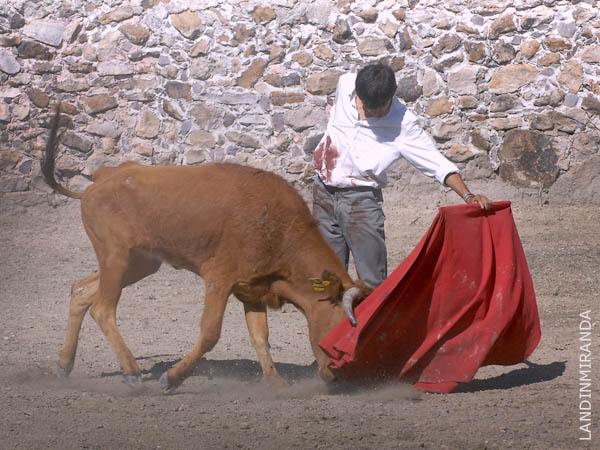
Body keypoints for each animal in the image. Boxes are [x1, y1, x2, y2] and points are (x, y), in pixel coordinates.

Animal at [41, 104, 370, 390]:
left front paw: (275, 383)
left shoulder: (253, 289)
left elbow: (260, 338)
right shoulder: (219, 279)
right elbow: (211, 333)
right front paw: (172, 378)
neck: (277, 225)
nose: (337, 376)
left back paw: (63, 364)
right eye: (345, 331)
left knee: (81, 291)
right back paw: (131, 371)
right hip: (116, 257)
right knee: (102, 308)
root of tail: (103, 176)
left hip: (139, 262)